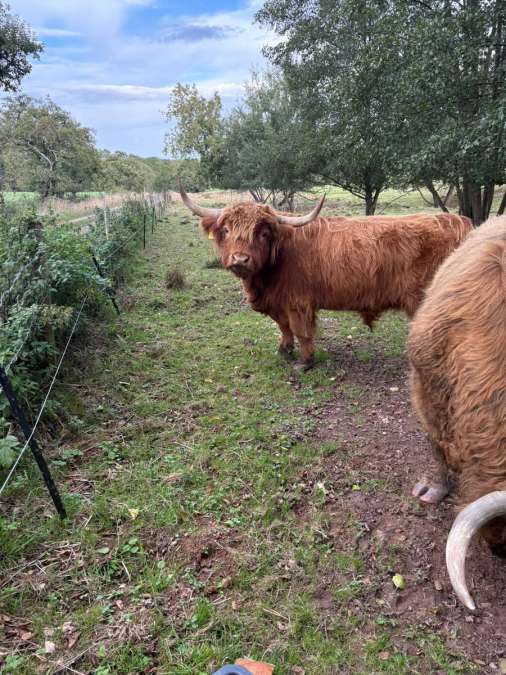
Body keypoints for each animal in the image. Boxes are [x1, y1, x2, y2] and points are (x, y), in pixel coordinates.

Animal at [180, 183, 472, 368]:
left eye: (262, 233)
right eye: (226, 230)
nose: (240, 259)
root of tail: (458, 221)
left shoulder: (298, 302)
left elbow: (301, 331)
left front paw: (305, 362)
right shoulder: (279, 303)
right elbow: (284, 328)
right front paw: (284, 351)